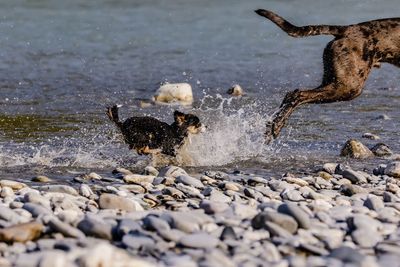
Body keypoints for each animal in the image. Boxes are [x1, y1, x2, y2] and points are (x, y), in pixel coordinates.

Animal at [256, 8, 400, 142]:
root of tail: (347, 29)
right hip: (348, 88)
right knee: (297, 94)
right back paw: (276, 126)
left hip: (334, 82)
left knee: (290, 95)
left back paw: (271, 126)